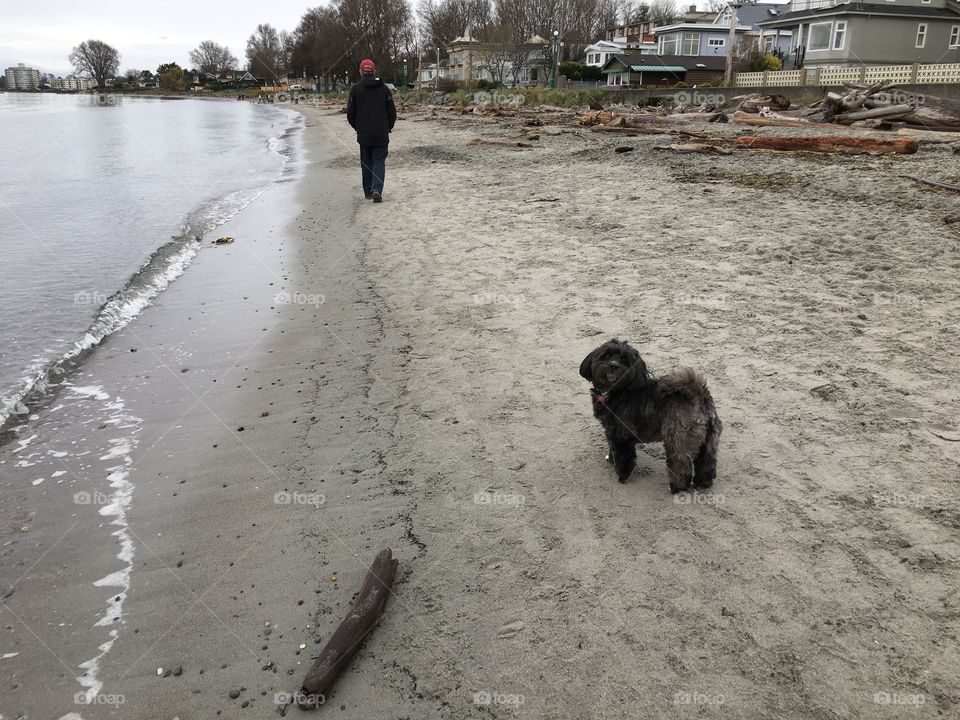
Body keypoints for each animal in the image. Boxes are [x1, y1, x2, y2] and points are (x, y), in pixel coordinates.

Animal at [576, 340, 720, 492]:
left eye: (624, 359)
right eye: (606, 355)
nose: (613, 365)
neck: (617, 390)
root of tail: (697, 394)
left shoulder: (621, 434)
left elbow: (623, 456)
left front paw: (622, 475)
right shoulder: (611, 431)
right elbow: (612, 446)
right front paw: (611, 458)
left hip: (676, 438)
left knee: (681, 464)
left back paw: (676, 487)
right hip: (709, 438)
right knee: (707, 461)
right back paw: (703, 483)